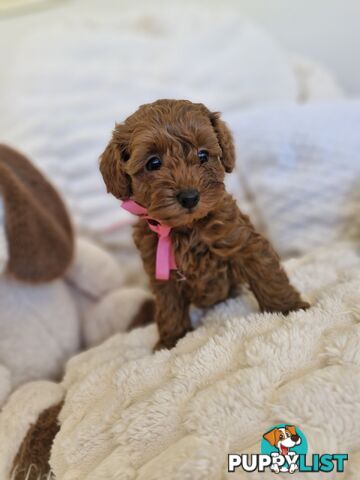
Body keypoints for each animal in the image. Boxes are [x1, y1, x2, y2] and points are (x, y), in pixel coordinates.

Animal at [100, 99, 310, 350]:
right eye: (153, 163)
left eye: (202, 155)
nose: (190, 197)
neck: (186, 228)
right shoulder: (160, 272)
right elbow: (168, 307)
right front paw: (171, 341)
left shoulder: (242, 241)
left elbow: (267, 275)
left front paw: (289, 308)